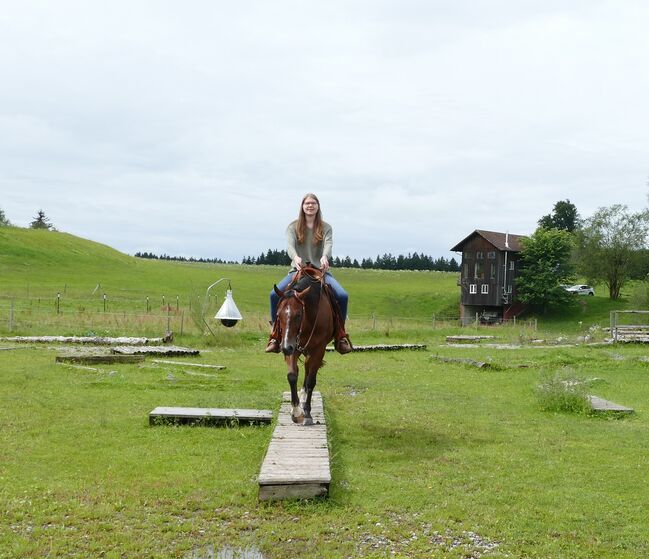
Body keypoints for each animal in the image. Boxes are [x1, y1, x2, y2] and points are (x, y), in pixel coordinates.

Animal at [272, 264, 334, 426]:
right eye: (278, 315)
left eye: (298, 315)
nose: (285, 348)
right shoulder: (292, 347)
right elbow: (292, 375)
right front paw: (296, 412)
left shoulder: (318, 349)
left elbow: (311, 380)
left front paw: (306, 413)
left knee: (308, 373)